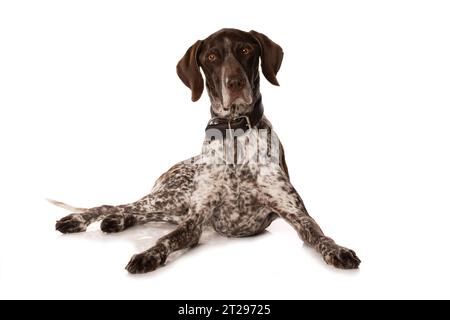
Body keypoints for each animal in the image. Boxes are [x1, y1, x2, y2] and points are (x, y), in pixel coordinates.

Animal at [52, 28, 360, 272]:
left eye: (246, 50)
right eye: (211, 57)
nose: (234, 83)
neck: (234, 132)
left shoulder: (296, 214)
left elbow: (320, 236)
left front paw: (338, 250)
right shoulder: (195, 220)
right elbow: (165, 239)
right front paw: (148, 255)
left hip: (171, 206)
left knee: (133, 212)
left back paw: (116, 221)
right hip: (170, 197)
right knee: (112, 205)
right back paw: (81, 219)